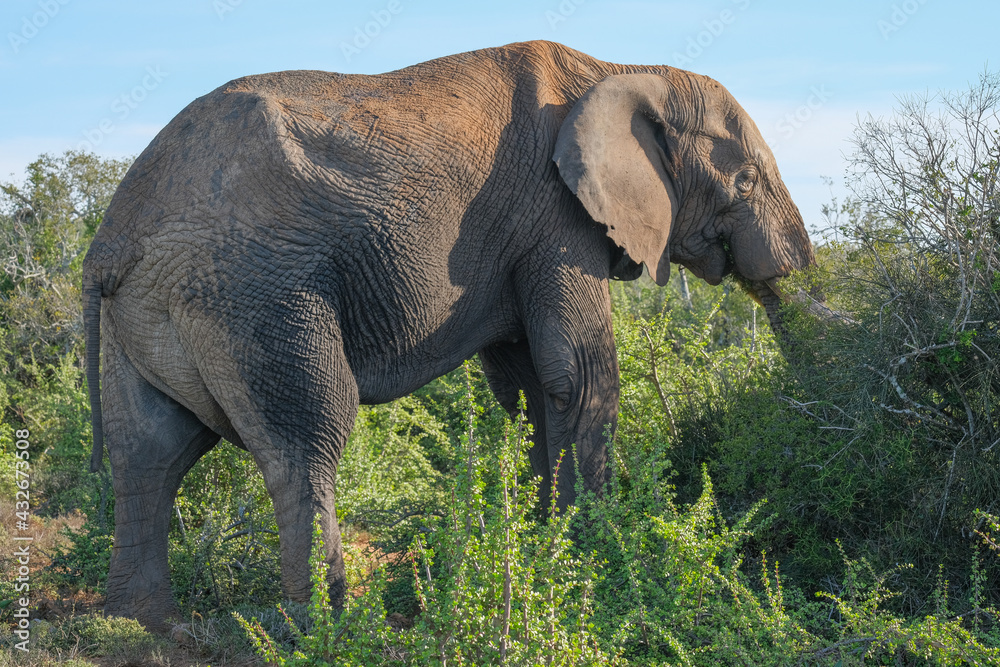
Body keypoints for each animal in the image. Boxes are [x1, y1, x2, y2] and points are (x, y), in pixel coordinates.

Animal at [83, 40, 815, 630]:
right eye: (744, 179)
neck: (623, 71)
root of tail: (111, 240)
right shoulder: (556, 216)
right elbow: (579, 375)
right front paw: (596, 556)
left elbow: (528, 386)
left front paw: (542, 549)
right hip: (250, 290)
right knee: (307, 437)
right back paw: (325, 628)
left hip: (150, 311)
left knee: (150, 450)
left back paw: (143, 622)